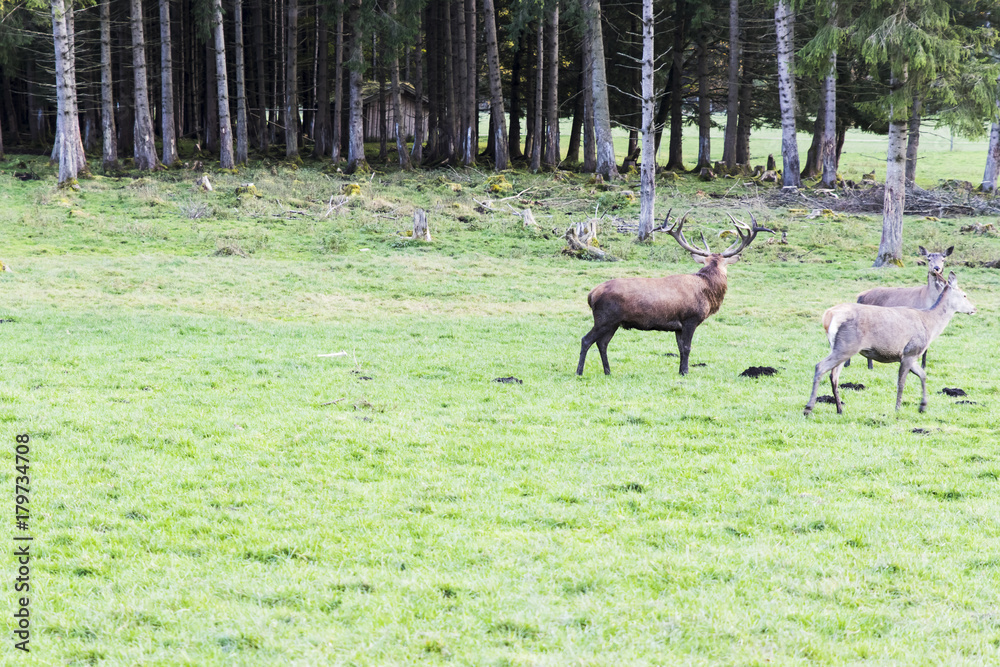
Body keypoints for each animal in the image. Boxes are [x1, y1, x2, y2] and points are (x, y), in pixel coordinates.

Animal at [577, 211, 772, 376]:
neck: (707, 293)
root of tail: (591, 295)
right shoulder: (690, 318)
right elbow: (687, 347)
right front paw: (685, 372)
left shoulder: (678, 326)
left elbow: (679, 348)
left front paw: (680, 370)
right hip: (605, 318)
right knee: (586, 339)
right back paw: (579, 371)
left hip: (614, 322)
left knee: (602, 343)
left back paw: (608, 371)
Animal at [804, 271, 975, 416]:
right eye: (964, 295)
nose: (974, 308)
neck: (930, 325)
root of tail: (828, 316)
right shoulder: (910, 351)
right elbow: (901, 382)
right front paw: (897, 408)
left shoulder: (910, 355)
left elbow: (923, 375)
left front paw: (922, 406)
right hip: (847, 345)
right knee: (820, 367)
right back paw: (808, 408)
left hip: (838, 347)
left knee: (834, 376)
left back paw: (839, 409)